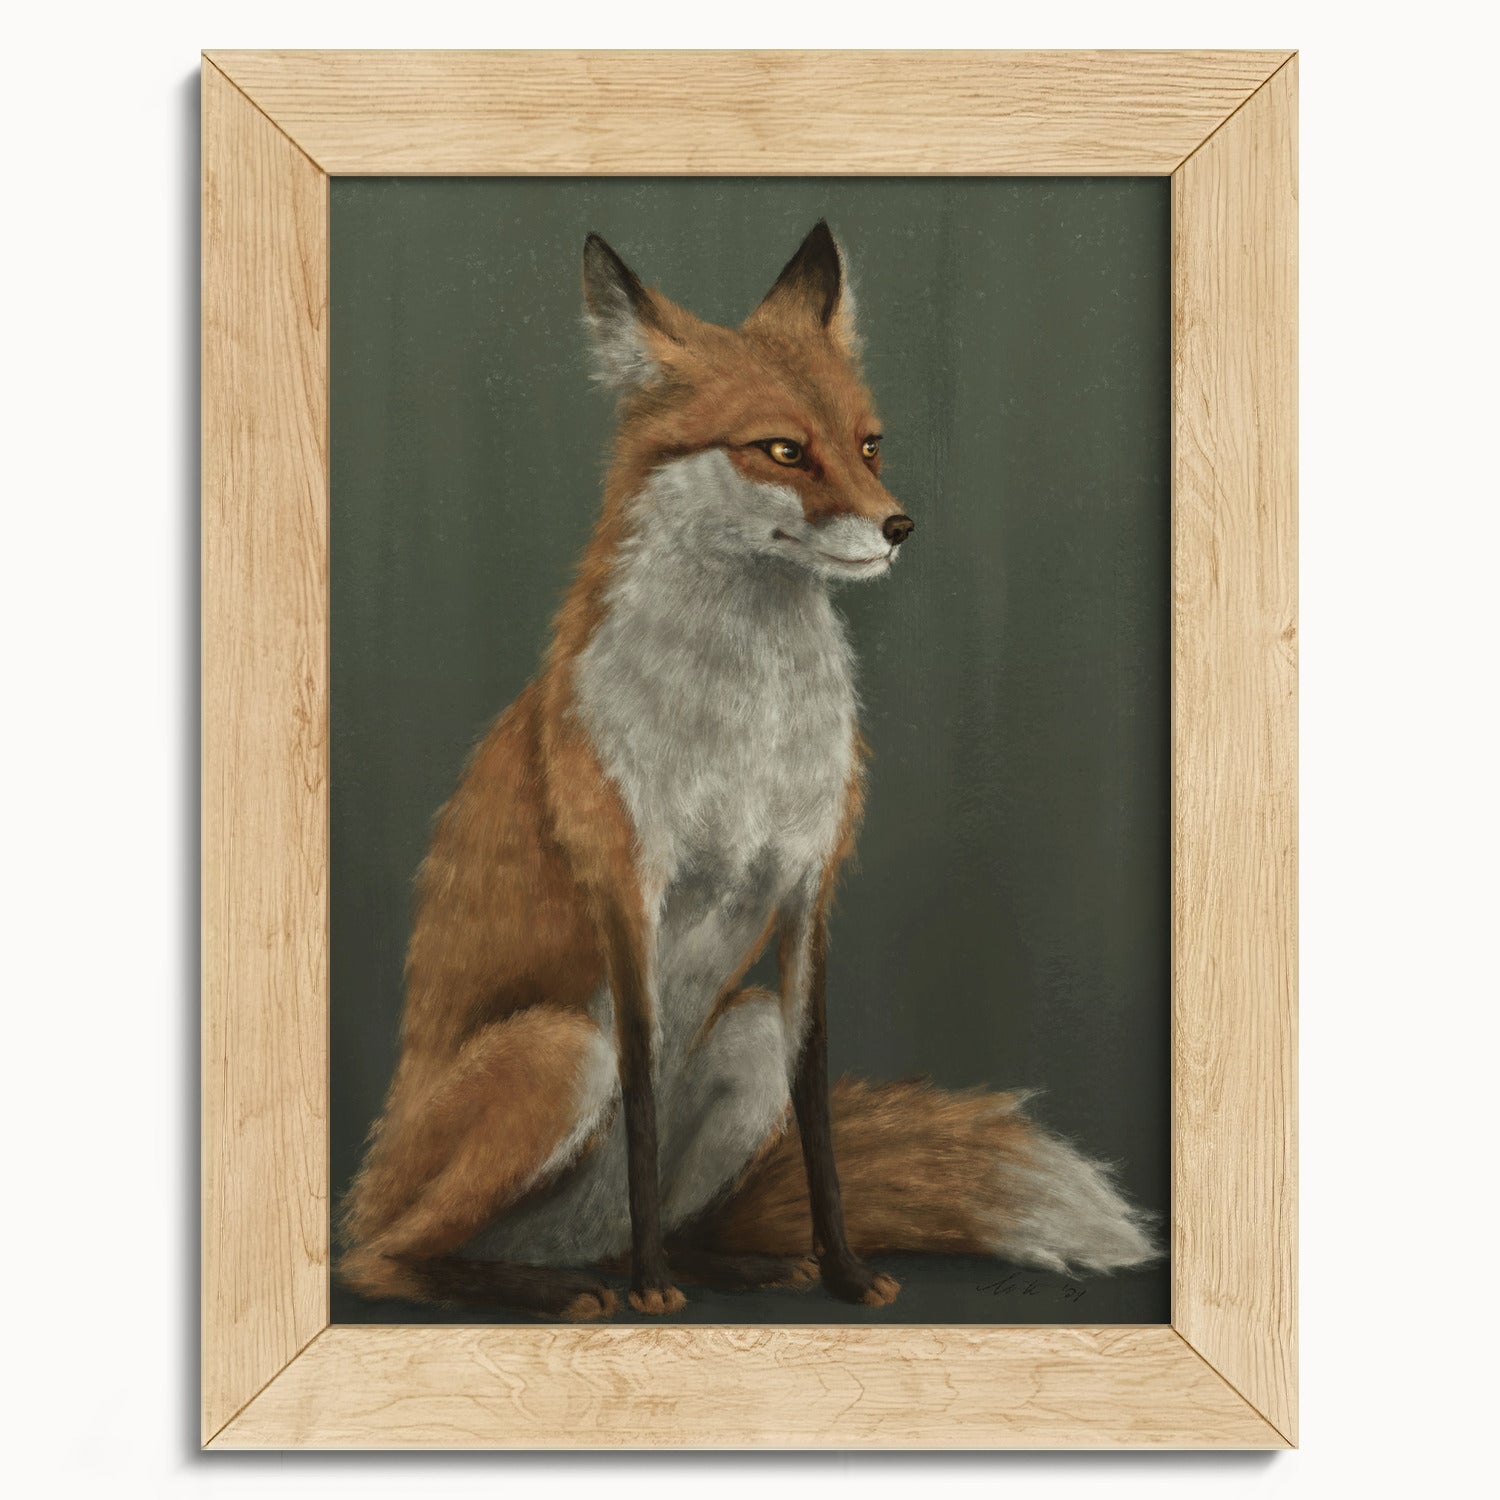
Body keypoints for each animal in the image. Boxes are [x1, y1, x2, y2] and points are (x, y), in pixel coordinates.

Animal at [337, 221, 1156, 1320]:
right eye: (781, 450)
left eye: (869, 443)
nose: (899, 526)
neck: (747, 732)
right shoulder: (628, 890)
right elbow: (642, 1100)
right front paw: (651, 1293)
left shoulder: (810, 889)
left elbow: (817, 1115)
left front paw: (844, 1272)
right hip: (559, 1051)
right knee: (385, 1260)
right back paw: (566, 1287)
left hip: (745, 1033)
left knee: (672, 1217)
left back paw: (729, 1263)